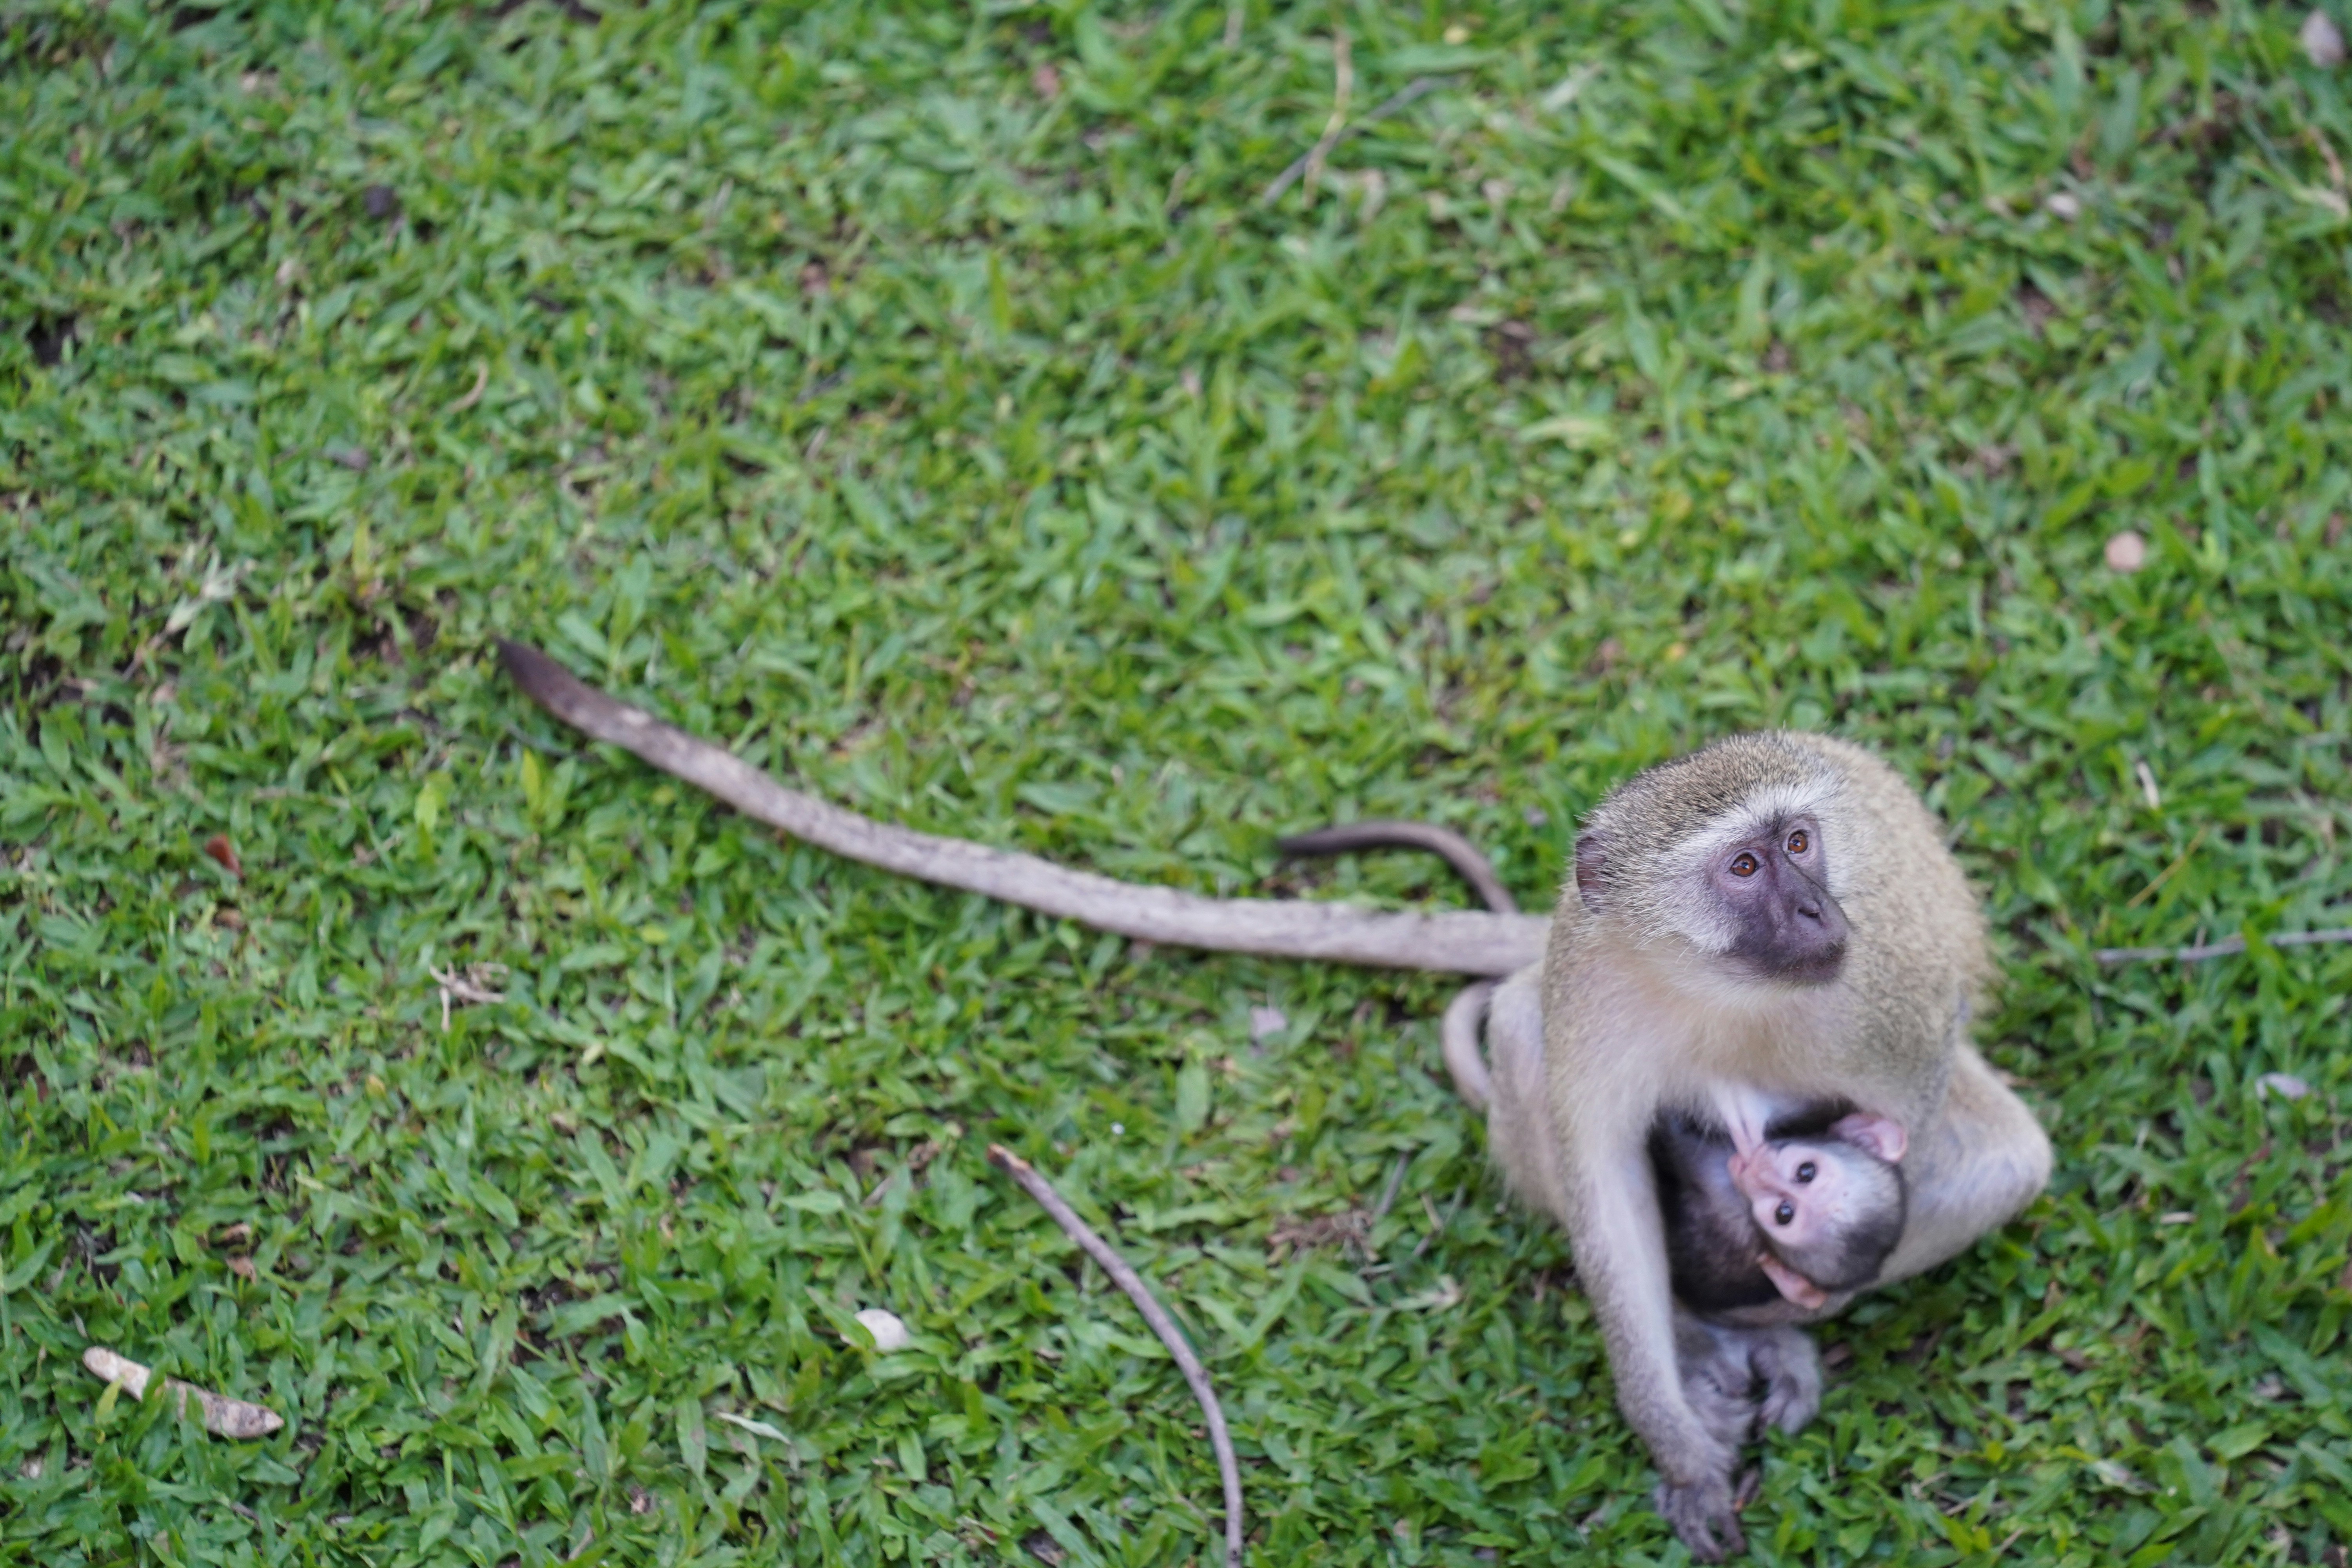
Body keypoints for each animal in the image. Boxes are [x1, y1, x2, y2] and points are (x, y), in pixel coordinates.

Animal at [496, 641, 2052, 1561]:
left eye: (1800, 844)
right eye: (1742, 867)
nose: (1813, 907)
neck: (1713, 980)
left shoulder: (1885, 998)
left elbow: (1902, 1141)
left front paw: (1772, 1297)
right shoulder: (1593, 981)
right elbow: (1599, 1160)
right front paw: (1668, 1403)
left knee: (1996, 1160)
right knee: (1520, 1047)